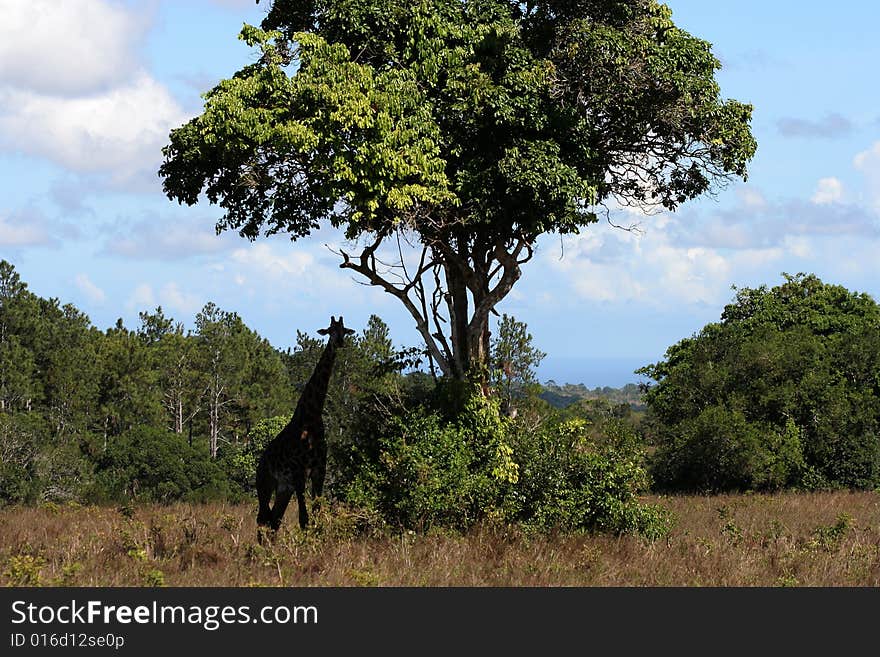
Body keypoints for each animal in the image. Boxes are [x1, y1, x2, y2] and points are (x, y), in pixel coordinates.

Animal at [254, 316, 354, 536]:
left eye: (344, 330)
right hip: (265, 484)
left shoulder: (319, 470)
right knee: (263, 520)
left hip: (284, 488)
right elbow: (304, 519)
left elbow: (317, 513)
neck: (311, 416)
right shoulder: (299, 472)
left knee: (274, 521)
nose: (339, 342)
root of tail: (259, 464)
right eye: (329, 330)